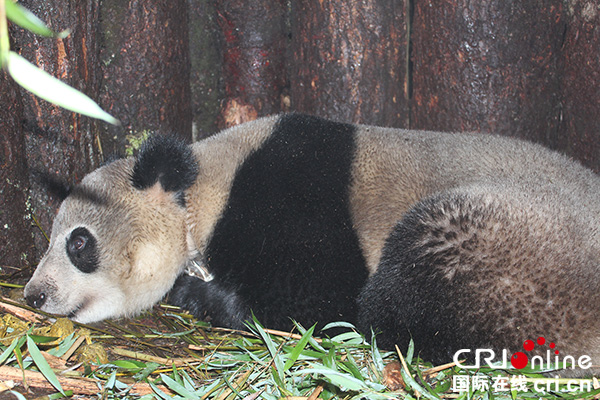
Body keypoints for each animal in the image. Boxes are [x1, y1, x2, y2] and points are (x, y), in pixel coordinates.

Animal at [23, 113, 600, 376]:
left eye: (79, 243)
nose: (34, 295)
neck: (203, 193)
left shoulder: (292, 194)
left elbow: (320, 301)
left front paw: (196, 292)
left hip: (510, 256)